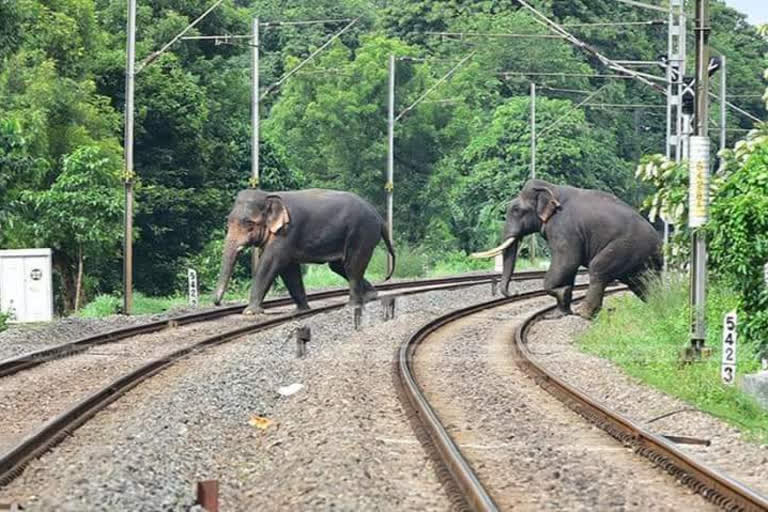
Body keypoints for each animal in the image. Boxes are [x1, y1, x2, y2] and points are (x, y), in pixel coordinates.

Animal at [214, 188, 396, 314]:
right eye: (228, 221)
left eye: (249, 224)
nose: (217, 303)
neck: (268, 195)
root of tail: (379, 218)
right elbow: (289, 270)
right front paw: (301, 310)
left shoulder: (287, 232)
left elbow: (271, 263)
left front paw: (250, 312)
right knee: (339, 267)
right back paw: (371, 296)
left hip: (361, 233)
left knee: (352, 266)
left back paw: (352, 305)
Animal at [472, 178, 664, 318]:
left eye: (516, 210)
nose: (515, 292)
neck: (552, 189)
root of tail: (659, 243)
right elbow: (568, 268)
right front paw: (560, 311)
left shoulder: (563, 227)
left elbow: (567, 261)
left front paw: (562, 294)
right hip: (642, 260)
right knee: (643, 282)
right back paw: (656, 306)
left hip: (625, 247)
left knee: (598, 269)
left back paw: (583, 313)